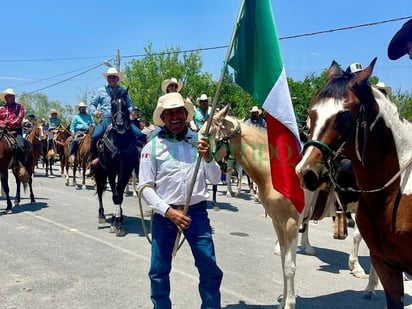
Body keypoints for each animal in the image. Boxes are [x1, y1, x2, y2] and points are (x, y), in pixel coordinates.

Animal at [202, 105, 300, 306]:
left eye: (208, 132)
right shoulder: (278, 222)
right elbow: (283, 263)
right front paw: (282, 302)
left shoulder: (291, 223)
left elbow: (289, 267)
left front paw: (289, 304)